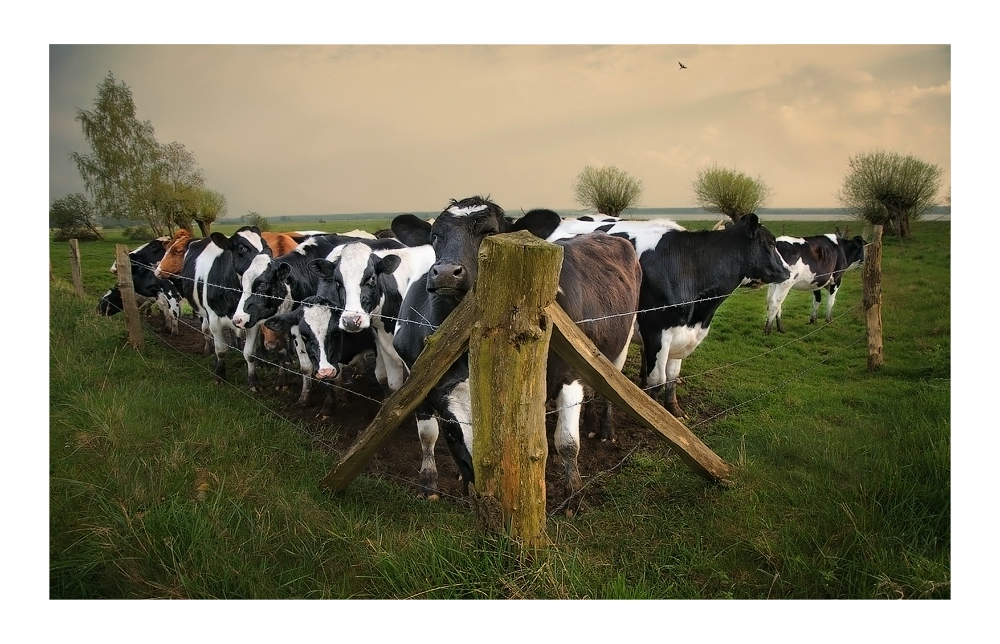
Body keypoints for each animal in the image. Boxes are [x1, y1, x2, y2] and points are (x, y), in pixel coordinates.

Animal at [386, 196, 636, 512]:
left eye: (490, 233)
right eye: (434, 236)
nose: (445, 273)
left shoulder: (569, 375)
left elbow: (568, 442)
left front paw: (572, 496)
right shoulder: (417, 376)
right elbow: (427, 434)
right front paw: (429, 484)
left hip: (617, 348)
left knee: (608, 388)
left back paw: (604, 430)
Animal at [544, 214, 792, 420]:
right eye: (771, 243)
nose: (788, 271)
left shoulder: (682, 333)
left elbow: (672, 376)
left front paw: (674, 409)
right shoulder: (656, 331)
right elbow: (658, 381)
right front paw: (655, 412)